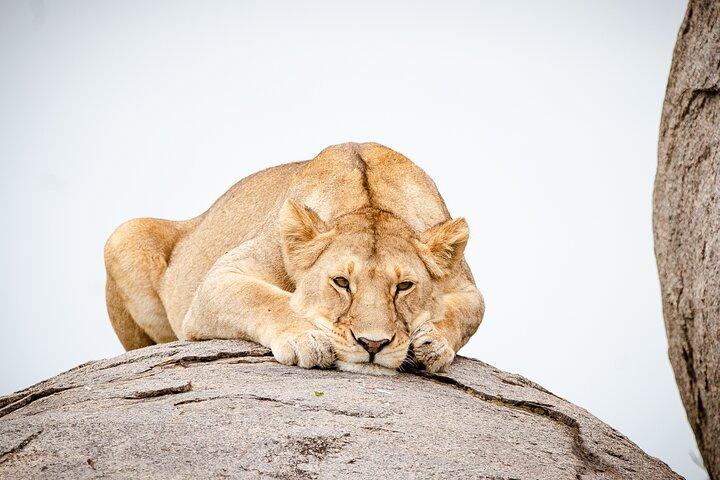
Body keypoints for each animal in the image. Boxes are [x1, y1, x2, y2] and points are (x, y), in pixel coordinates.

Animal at [104, 142, 484, 374]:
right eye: (341, 282)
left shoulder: (467, 287)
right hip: (123, 235)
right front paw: (308, 339)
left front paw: (433, 343)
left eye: (404, 286)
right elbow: (262, 298)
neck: (369, 201)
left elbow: (465, 313)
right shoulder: (221, 278)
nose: (373, 344)